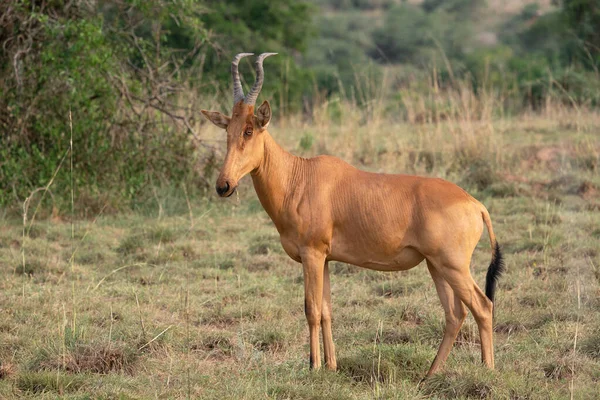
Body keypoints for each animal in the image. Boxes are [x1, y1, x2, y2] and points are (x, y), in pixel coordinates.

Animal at [200, 52, 502, 376]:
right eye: (228, 131)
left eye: (249, 130)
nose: (223, 186)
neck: (300, 176)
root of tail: (475, 204)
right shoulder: (325, 259)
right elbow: (327, 310)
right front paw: (331, 366)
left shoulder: (312, 254)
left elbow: (311, 309)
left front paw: (314, 367)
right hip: (436, 265)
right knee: (454, 313)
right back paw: (430, 375)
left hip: (453, 265)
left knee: (482, 306)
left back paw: (487, 370)